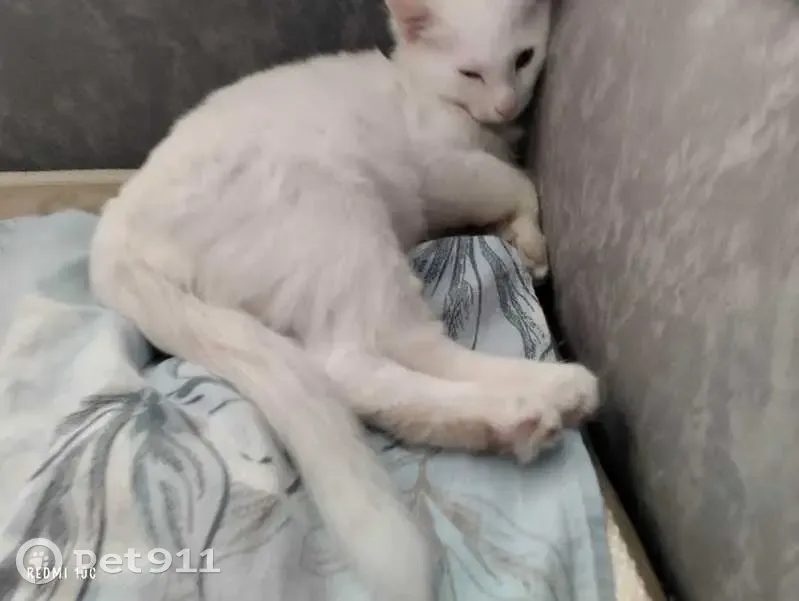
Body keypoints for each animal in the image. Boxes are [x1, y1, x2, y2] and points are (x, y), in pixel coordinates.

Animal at [89, 0, 599, 599]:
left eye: (524, 58)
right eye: (470, 73)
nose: (505, 103)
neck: (423, 91)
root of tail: (114, 232)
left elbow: (514, 191)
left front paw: (524, 239)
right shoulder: (445, 170)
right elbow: (521, 183)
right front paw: (532, 235)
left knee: (355, 379)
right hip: (344, 223)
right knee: (367, 360)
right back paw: (537, 400)